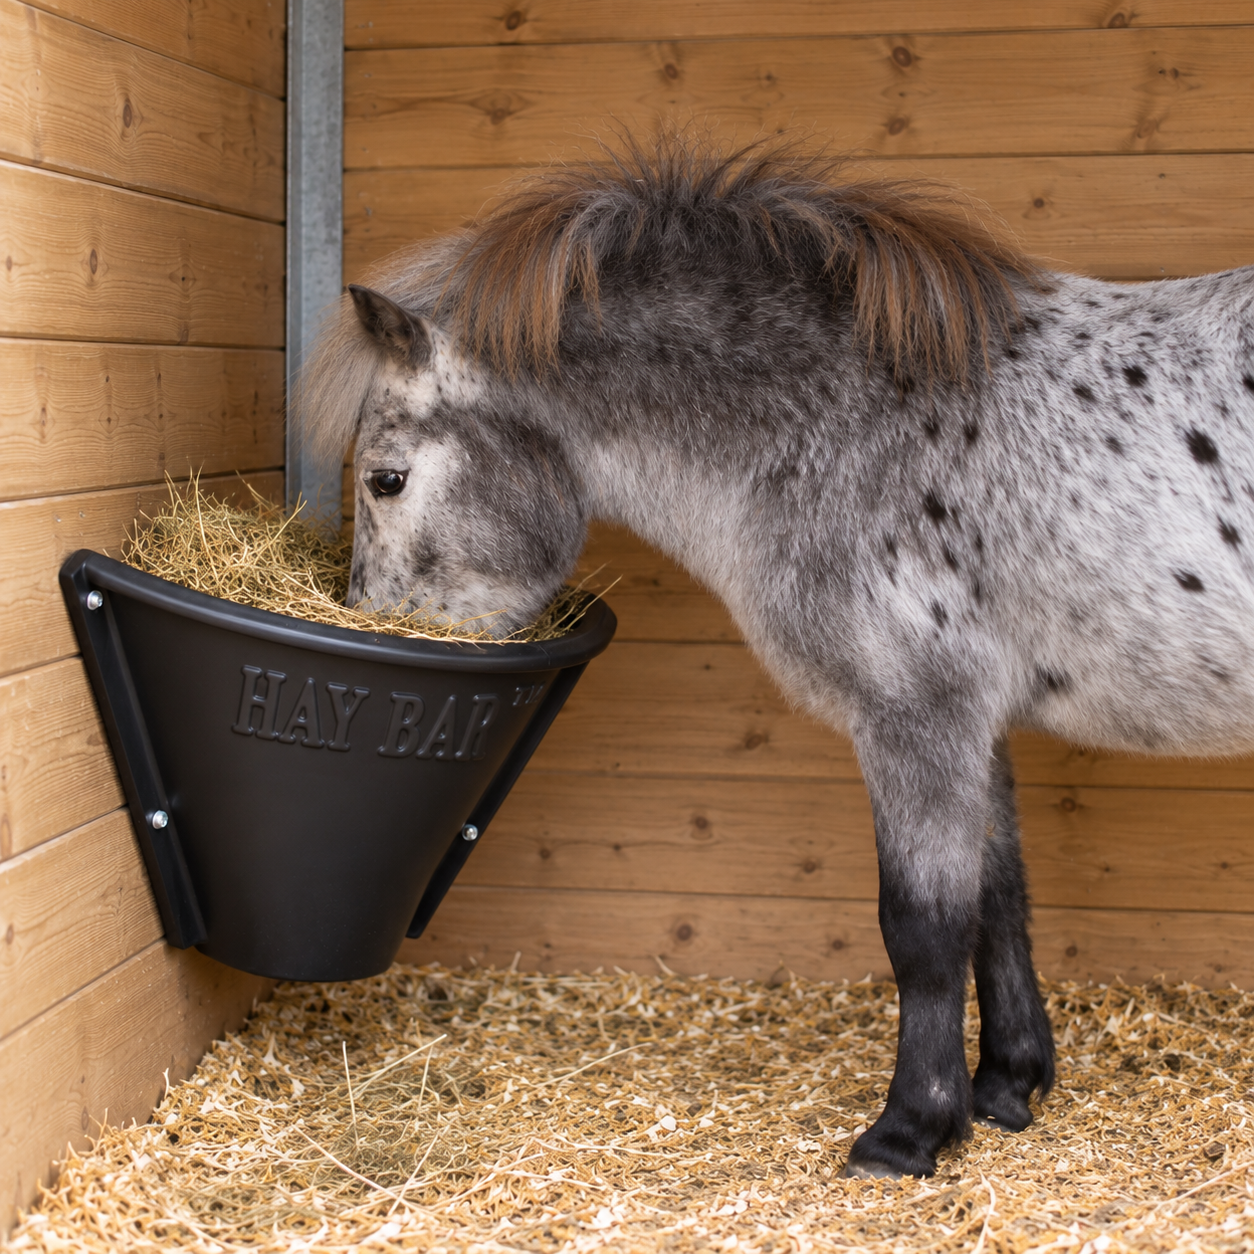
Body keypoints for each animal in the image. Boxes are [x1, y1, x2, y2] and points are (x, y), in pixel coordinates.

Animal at [298, 135, 1254, 1179]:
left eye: (387, 480)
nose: (374, 631)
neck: (855, 423)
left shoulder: (918, 717)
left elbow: (924, 928)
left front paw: (909, 1131)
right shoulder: (974, 721)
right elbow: (999, 900)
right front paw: (1007, 1087)